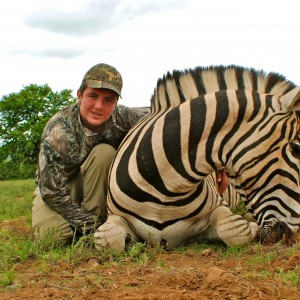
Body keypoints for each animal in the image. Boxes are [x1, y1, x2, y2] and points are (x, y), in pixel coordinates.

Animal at [94, 65, 300, 251]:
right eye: (297, 149)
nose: (293, 237)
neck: (165, 188)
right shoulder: (114, 216)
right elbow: (111, 240)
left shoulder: (219, 207)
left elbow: (234, 230)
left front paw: (251, 228)